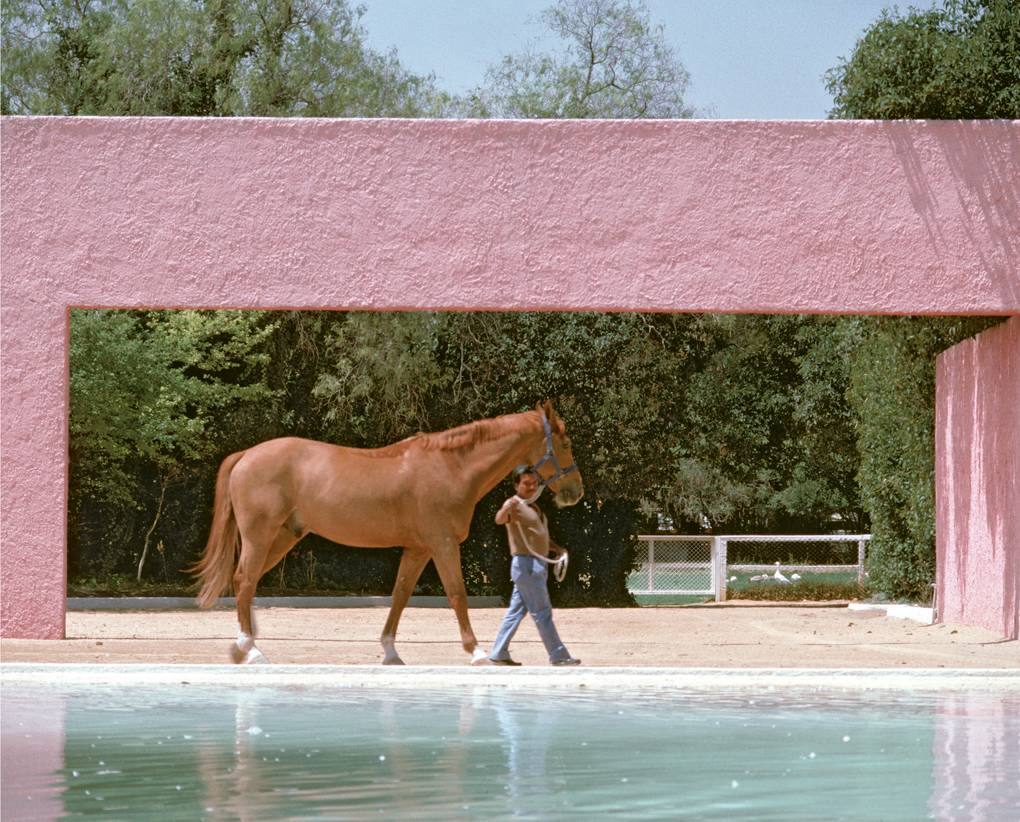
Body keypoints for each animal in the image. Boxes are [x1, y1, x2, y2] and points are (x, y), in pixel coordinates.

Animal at [193, 400, 583, 665]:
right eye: (565, 444)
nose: (575, 492)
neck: (451, 467)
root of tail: (246, 455)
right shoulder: (442, 545)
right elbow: (457, 594)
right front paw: (475, 651)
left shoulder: (418, 549)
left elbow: (400, 595)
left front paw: (390, 651)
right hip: (260, 536)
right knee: (244, 580)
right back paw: (251, 649)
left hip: (284, 537)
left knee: (248, 581)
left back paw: (246, 644)